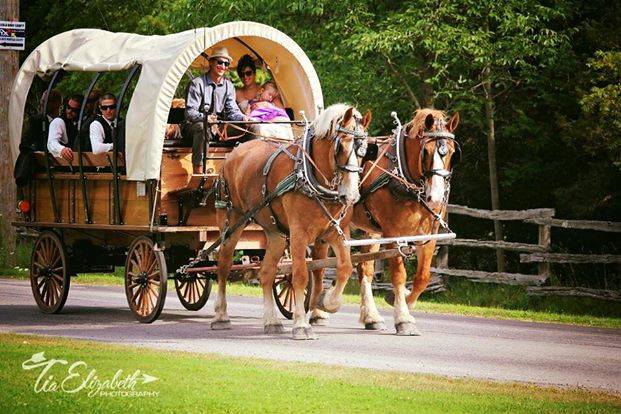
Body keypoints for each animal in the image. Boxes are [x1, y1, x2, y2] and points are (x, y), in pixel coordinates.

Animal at [211, 105, 370, 342]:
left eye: (364, 149)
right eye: (340, 145)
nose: (350, 195)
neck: (310, 177)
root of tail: (234, 153)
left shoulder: (335, 232)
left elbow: (345, 268)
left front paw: (327, 302)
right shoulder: (298, 235)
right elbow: (300, 276)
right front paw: (301, 325)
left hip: (275, 234)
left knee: (266, 273)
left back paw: (272, 321)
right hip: (231, 223)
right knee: (223, 266)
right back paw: (221, 316)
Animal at [310, 108, 460, 334]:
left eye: (452, 153)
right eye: (425, 152)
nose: (435, 198)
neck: (402, 175)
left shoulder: (428, 235)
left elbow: (423, 277)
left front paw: (403, 300)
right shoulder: (393, 234)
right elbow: (399, 275)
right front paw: (403, 319)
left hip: (370, 232)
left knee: (365, 270)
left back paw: (371, 317)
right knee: (318, 265)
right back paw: (318, 311)